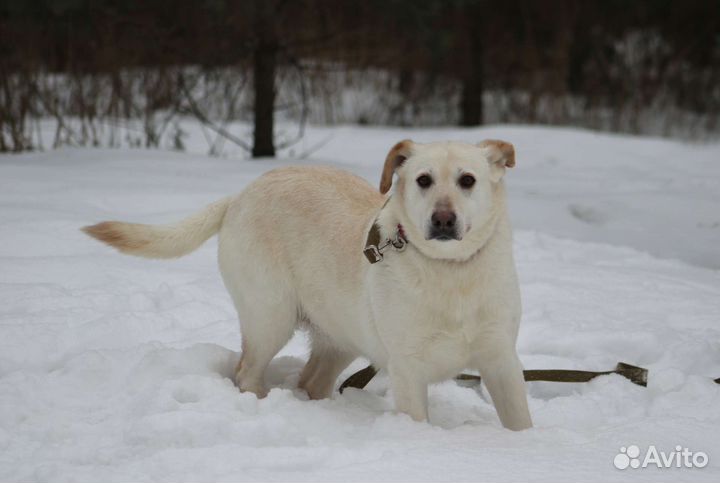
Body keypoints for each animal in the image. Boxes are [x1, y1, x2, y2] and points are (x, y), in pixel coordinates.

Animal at [86, 140, 536, 432]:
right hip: (271, 317)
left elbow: (520, 422)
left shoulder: (502, 361)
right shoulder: (409, 369)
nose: (443, 220)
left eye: (467, 180)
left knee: (310, 380)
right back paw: (264, 405)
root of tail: (239, 196)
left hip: (342, 335)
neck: (452, 272)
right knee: (246, 371)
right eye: (423, 180)